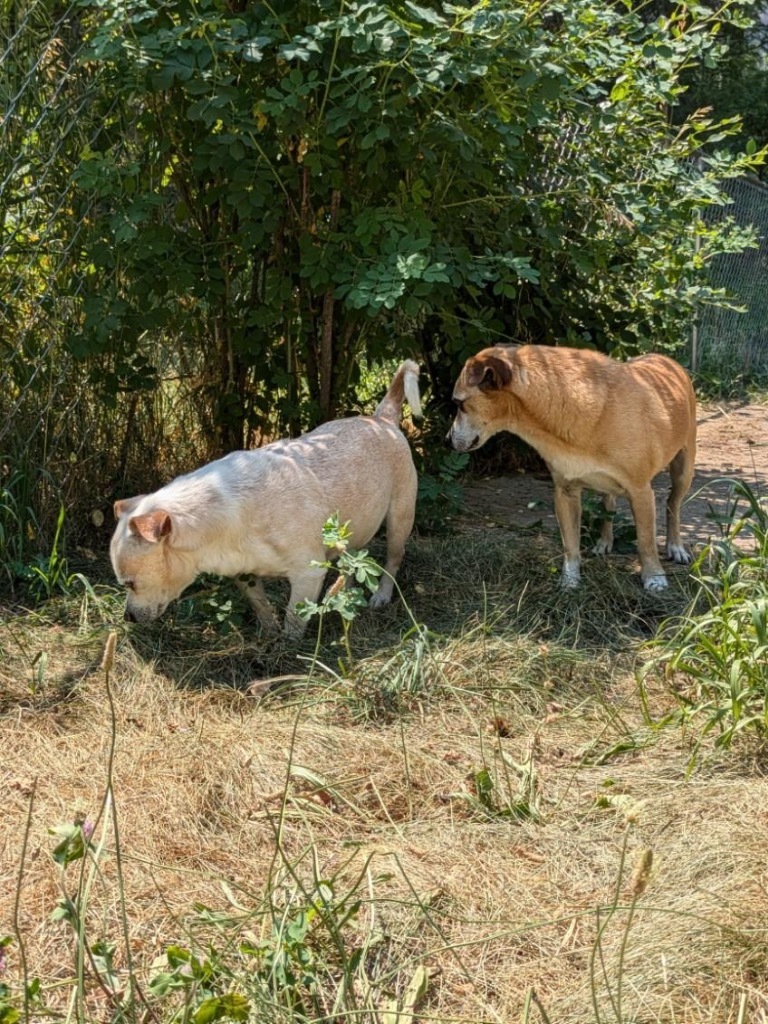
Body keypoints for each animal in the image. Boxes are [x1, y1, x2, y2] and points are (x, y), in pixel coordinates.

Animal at [109, 358, 421, 630]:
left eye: (130, 584)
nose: (127, 618)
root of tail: (382, 418)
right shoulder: (244, 574)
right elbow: (261, 606)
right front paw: (268, 634)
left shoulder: (307, 575)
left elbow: (294, 619)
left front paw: (288, 650)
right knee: (353, 563)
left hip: (400, 520)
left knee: (393, 558)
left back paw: (380, 595)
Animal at [450, 344, 696, 589]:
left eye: (459, 404)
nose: (446, 439)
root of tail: (665, 359)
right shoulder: (566, 492)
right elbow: (570, 545)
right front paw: (569, 581)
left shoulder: (640, 492)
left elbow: (646, 542)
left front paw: (654, 577)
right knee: (608, 503)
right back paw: (604, 541)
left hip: (684, 471)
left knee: (672, 505)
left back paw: (675, 547)